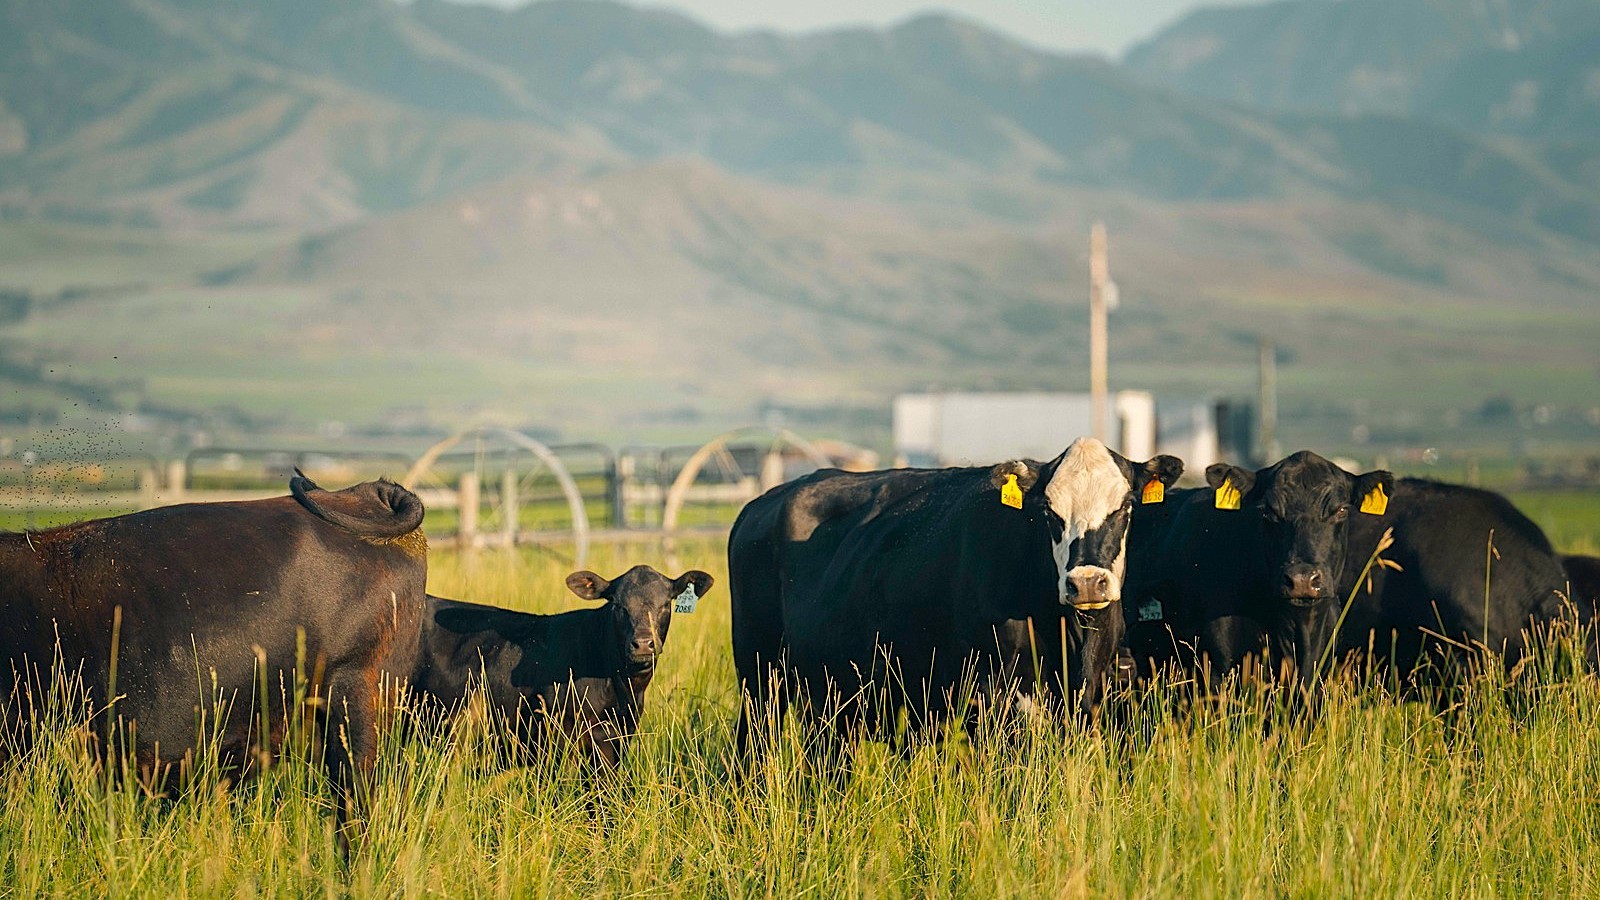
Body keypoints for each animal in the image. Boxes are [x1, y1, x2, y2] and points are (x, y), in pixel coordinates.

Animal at [729, 437, 1183, 762]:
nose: (1087, 584)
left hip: (833, 696)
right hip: (759, 678)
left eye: (1125, 507)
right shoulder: (993, 695)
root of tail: (765, 501)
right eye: (1049, 512)